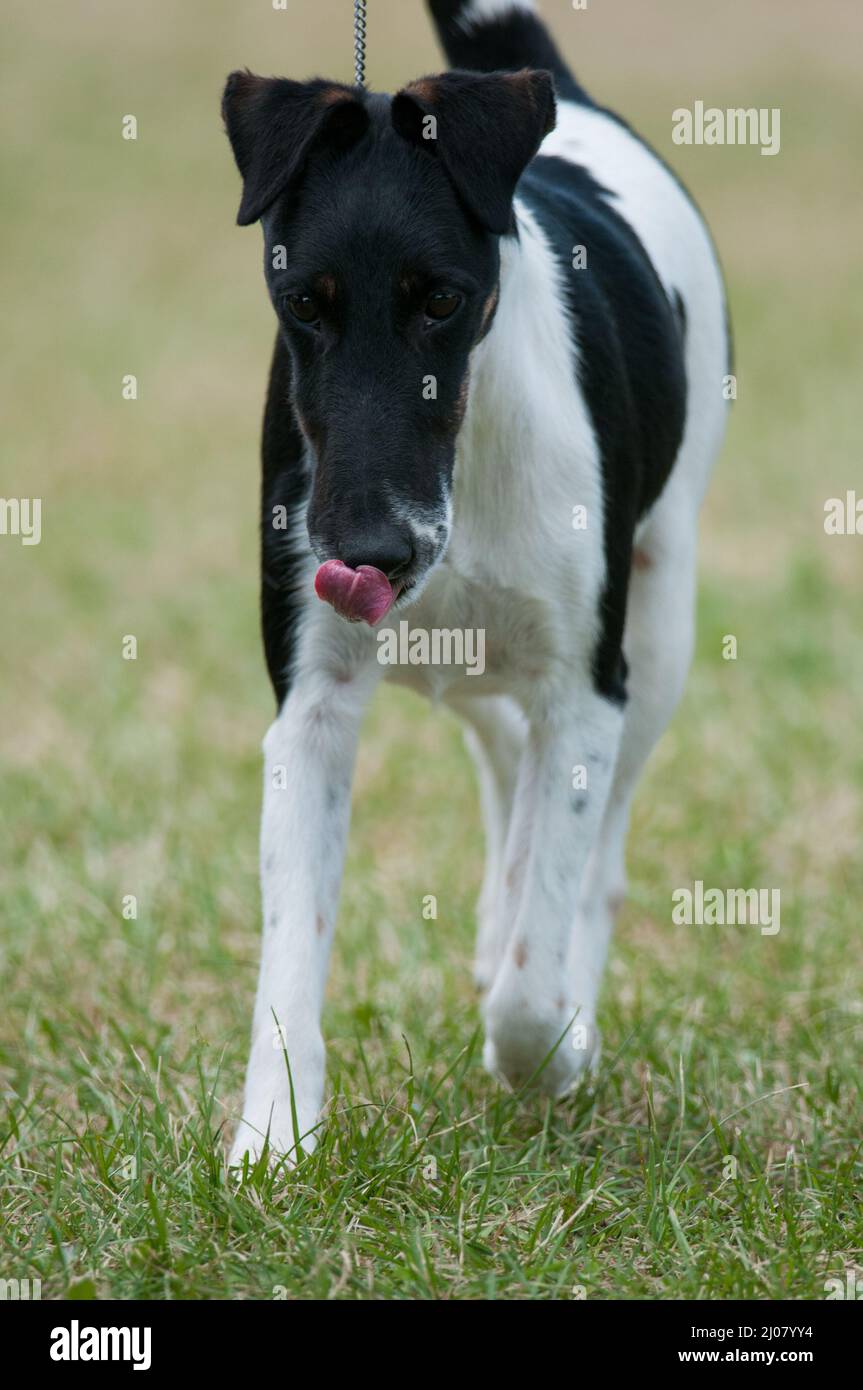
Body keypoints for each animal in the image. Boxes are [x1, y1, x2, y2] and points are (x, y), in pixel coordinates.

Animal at [220, 0, 728, 1162]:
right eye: (299, 300)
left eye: (442, 302)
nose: (367, 550)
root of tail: (560, 97)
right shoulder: (311, 705)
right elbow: (291, 953)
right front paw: (272, 1143)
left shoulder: (585, 690)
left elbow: (536, 976)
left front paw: (558, 1048)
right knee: (500, 751)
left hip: (659, 630)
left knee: (593, 850)